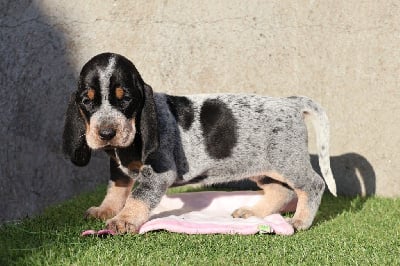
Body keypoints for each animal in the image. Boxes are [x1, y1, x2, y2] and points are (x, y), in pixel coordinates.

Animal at [62, 52, 336, 233]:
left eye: (126, 99)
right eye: (86, 101)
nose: (106, 133)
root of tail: (290, 103)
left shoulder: (157, 173)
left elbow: (137, 197)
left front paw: (124, 220)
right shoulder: (118, 168)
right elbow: (116, 190)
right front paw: (105, 210)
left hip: (288, 162)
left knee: (313, 184)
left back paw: (300, 221)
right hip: (265, 168)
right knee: (282, 190)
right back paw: (254, 213)